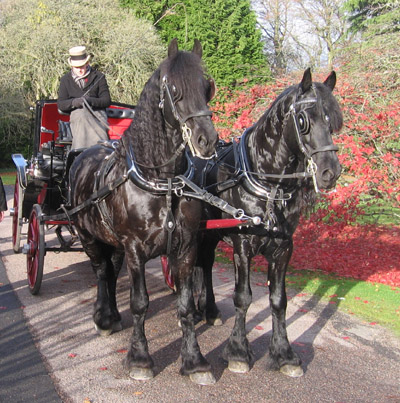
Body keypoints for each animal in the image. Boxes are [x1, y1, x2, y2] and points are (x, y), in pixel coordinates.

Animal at [69, 39, 219, 386]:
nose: (207, 140)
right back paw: (103, 317)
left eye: (206, 87)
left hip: (113, 242)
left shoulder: (186, 248)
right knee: (101, 273)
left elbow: (185, 305)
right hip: (88, 237)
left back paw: (111, 315)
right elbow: (140, 303)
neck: (164, 182)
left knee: (111, 272)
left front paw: (194, 361)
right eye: (174, 89)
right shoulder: (135, 249)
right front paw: (139, 358)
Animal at [192, 68, 342, 378]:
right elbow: (243, 297)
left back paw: (209, 310)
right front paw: (238, 352)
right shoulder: (242, 245)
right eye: (303, 120)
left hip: (209, 236)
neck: (268, 185)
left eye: (333, 121)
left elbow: (279, 300)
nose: (330, 172)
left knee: (205, 265)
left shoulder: (284, 248)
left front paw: (285, 354)